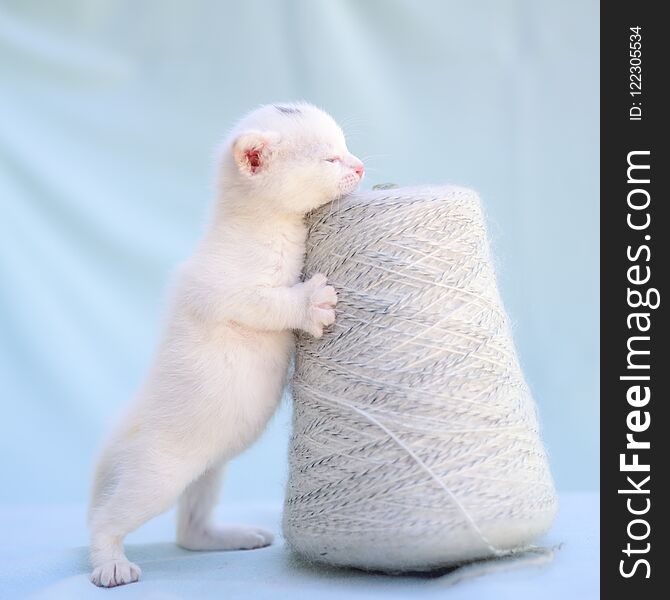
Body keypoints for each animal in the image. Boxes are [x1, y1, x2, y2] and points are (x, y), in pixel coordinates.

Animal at [89, 102, 368, 584]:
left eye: (346, 148)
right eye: (329, 158)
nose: (360, 166)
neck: (263, 227)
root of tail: (123, 430)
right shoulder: (226, 290)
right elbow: (270, 303)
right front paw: (310, 303)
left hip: (208, 468)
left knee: (189, 527)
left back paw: (225, 537)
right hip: (156, 475)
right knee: (107, 519)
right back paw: (110, 564)